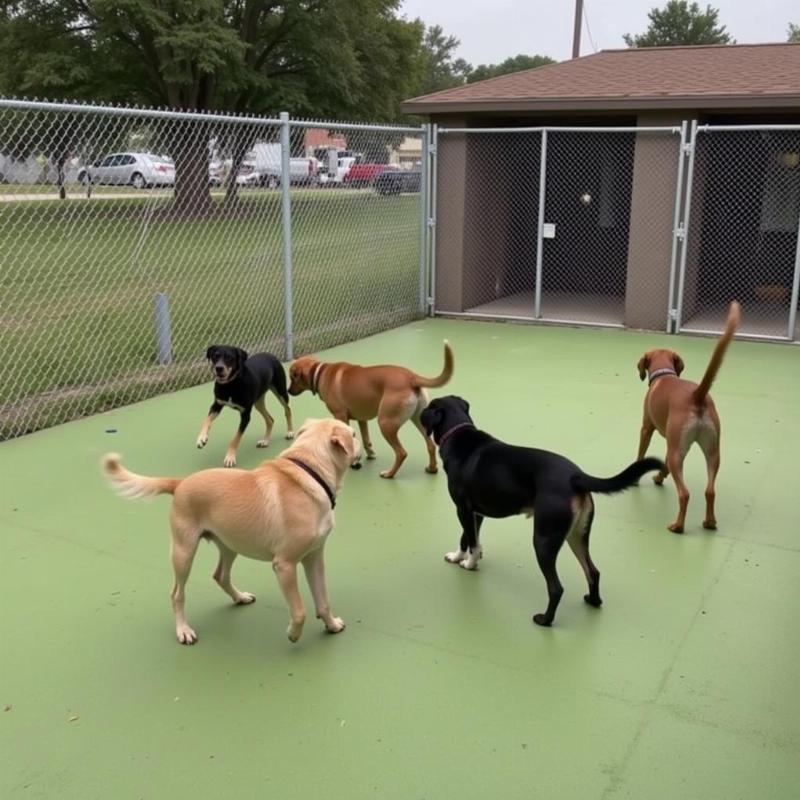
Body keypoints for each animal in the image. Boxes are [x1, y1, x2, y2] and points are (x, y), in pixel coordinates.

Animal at [101, 418, 360, 644]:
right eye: (354, 435)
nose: (360, 444)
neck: (310, 474)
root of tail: (180, 483)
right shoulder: (285, 565)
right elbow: (299, 611)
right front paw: (294, 634)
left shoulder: (314, 557)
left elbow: (323, 600)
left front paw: (331, 624)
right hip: (184, 553)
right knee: (177, 594)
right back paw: (183, 630)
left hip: (229, 545)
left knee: (220, 576)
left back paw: (239, 597)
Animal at [288, 340, 454, 478]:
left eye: (292, 377)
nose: (288, 391)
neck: (319, 372)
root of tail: (412, 377)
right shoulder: (362, 419)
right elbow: (366, 440)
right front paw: (368, 455)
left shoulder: (341, 416)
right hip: (419, 420)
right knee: (430, 445)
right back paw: (432, 468)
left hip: (385, 423)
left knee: (401, 453)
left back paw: (389, 474)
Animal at [422, 396, 664, 628]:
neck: (458, 434)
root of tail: (575, 477)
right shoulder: (476, 513)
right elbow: (467, 538)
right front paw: (458, 556)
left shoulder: (463, 509)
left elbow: (471, 542)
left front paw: (470, 563)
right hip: (576, 536)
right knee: (593, 571)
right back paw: (593, 601)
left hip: (544, 539)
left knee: (556, 588)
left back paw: (545, 620)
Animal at [636, 304, 744, 536]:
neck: (664, 375)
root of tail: (697, 396)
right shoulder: (670, 442)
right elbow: (664, 465)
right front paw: (659, 476)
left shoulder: (646, 429)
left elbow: (641, 453)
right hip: (711, 452)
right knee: (710, 491)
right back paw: (709, 522)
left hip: (678, 452)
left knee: (684, 494)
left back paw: (678, 526)